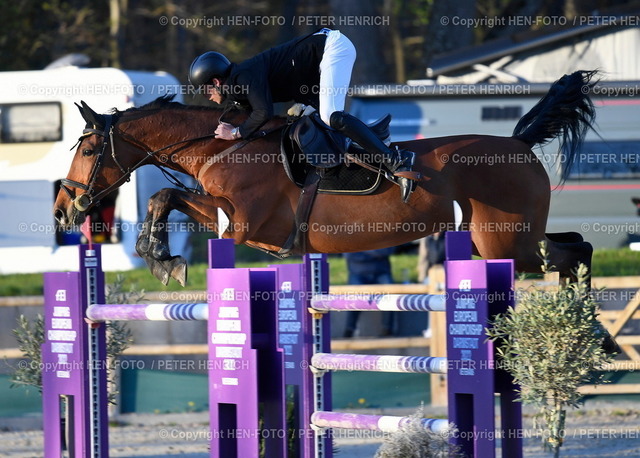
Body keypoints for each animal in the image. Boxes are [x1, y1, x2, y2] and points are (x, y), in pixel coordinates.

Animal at [56, 70, 600, 288]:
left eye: (87, 149)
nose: (63, 210)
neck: (223, 144)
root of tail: (520, 143)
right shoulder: (237, 224)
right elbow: (165, 198)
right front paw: (162, 260)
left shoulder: (243, 224)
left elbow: (166, 194)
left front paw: (163, 261)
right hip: (508, 239)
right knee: (574, 245)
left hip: (505, 242)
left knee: (575, 252)